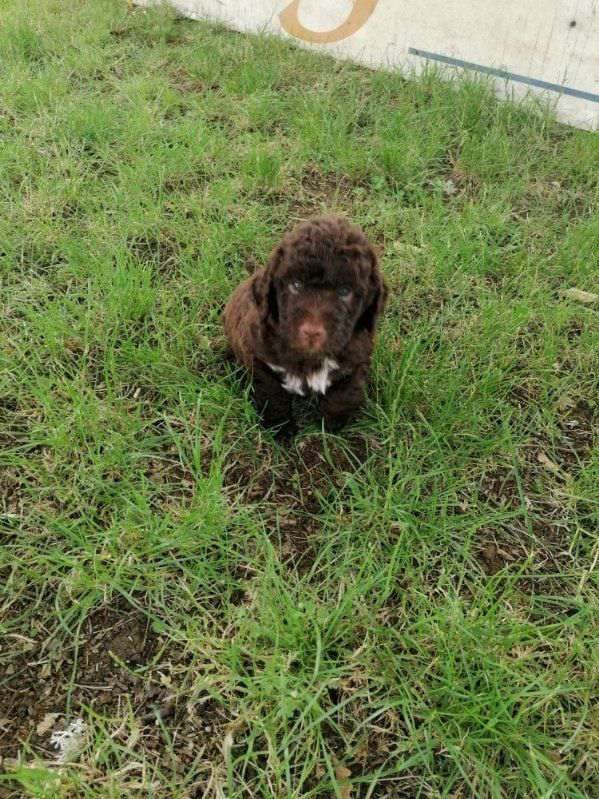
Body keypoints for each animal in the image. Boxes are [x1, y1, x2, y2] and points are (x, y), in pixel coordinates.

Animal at [225, 216, 390, 434]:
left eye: (345, 291)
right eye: (296, 285)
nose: (312, 332)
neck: (310, 358)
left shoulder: (356, 361)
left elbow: (343, 396)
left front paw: (332, 427)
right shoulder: (258, 357)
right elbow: (273, 396)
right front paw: (280, 430)